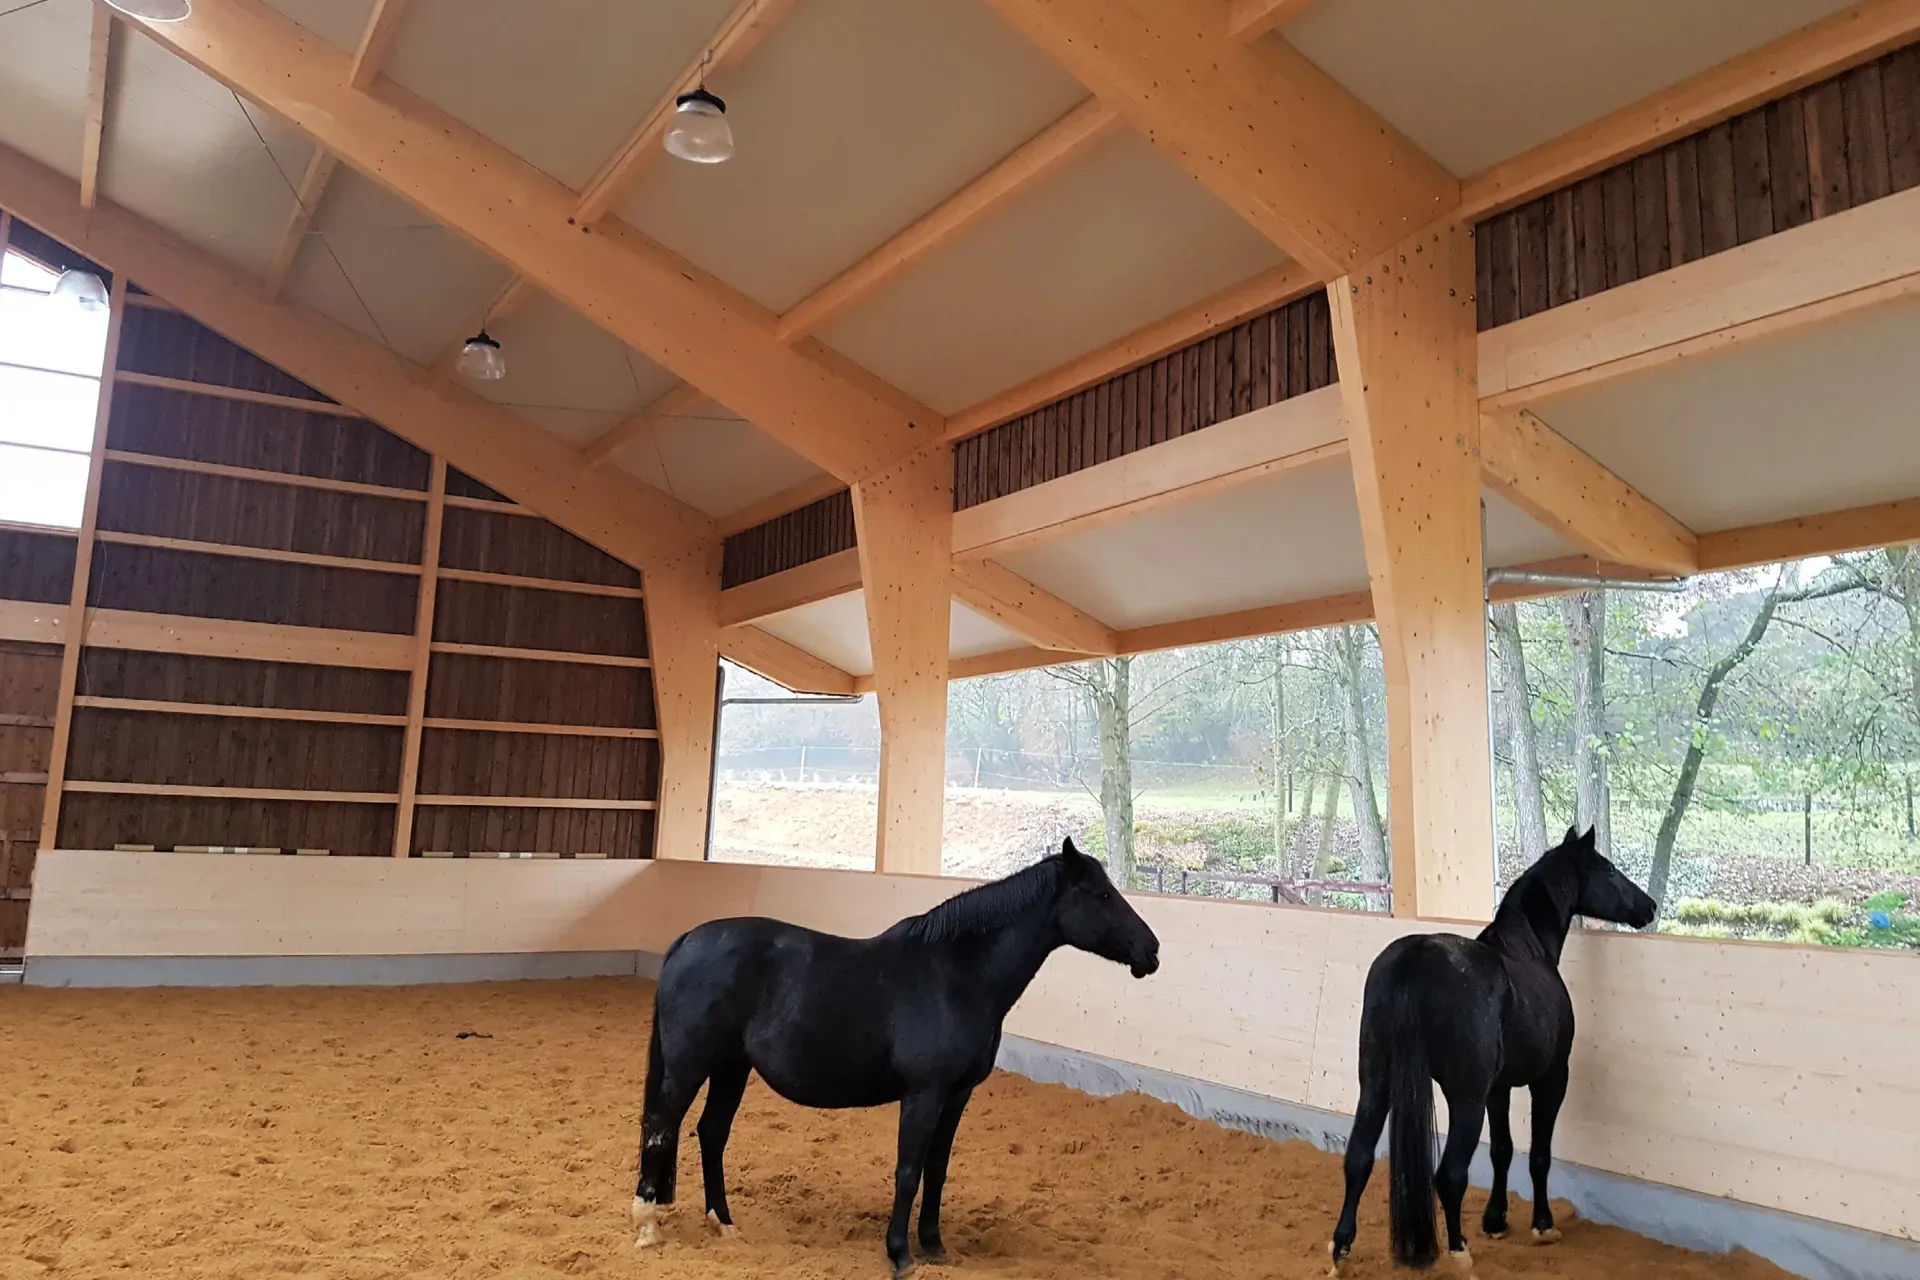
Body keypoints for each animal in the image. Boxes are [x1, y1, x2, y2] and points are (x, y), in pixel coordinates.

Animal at [632, 838, 1161, 1277]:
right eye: (1101, 895)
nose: (1152, 950)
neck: (955, 975)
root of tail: (686, 941)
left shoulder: (955, 1097)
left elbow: (936, 1171)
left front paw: (934, 1245)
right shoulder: (923, 1095)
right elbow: (908, 1172)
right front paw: (900, 1253)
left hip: (731, 1068)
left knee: (710, 1133)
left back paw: (723, 1223)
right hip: (688, 1068)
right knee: (661, 1127)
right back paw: (648, 1225)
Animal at [1329, 826, 1656, 1273]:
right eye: (1607, 868)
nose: (1649, 906)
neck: (1527, 949)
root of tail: (1415, 960)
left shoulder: (1498, 1088)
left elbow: (1503, 1150)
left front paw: (1496, 1220)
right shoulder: (1550, 1079)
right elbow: (1539, 1154)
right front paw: (1542, 1224)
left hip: (1376, 1086)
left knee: (1358, 1158)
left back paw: (1340, 1250)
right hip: (1465, 1099)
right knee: (1450, 1174)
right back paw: (1458, 1251)